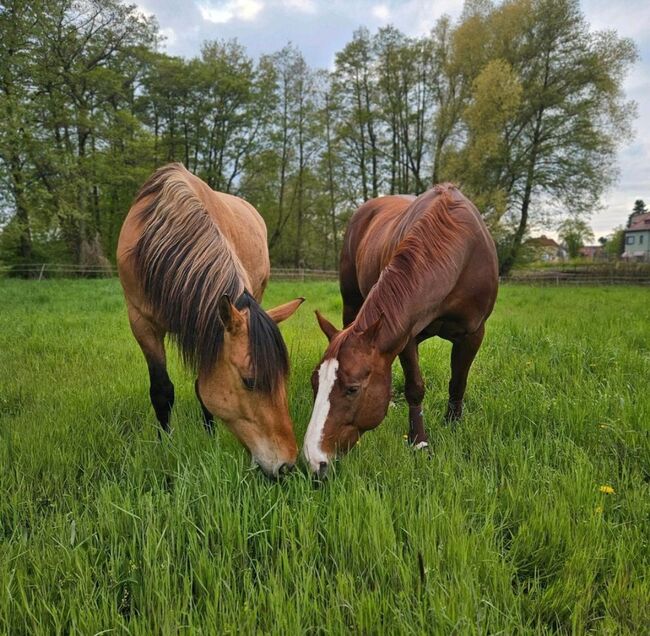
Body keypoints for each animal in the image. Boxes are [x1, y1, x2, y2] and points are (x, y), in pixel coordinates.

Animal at [117, 164, 304, 476]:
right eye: (249, 381)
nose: (287, 465)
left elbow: (200, 388)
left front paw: (210, 436)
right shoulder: (141, 322)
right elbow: (161, 391)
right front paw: (165, 446)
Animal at [302, 184, 496, 476]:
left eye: (352, 389)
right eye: (315, 382)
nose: (314, 461)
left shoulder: (473, 334)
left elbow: (458, 381)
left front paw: (451, 427)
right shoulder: (406, 334)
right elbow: (414, 386)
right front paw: (420, 442)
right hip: (351, 301)